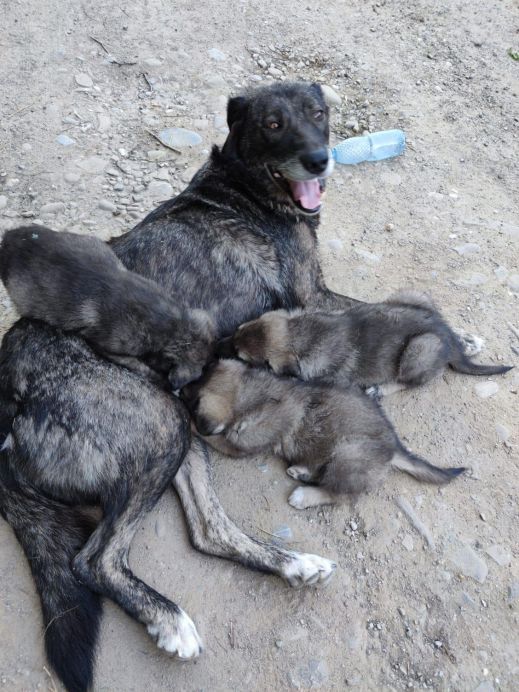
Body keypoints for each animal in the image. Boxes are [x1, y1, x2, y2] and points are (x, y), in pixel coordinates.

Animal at [181, 356, 466, 508]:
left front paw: (189, 421)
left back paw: (304, 495)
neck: (252, 394)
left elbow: (213, 436)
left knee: (340, 495)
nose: (178, 387)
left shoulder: (239, 443)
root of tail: (394, 448)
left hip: (347, 457)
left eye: (191, 399)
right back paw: (301, 471)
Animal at [222, 290, 512, 394]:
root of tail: (452, 341)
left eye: (241, 355)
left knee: (410, 382)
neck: (301, 334)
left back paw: (380, 389)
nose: (218, 344)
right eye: (239, 328)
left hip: (420, 349)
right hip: (412, 295)